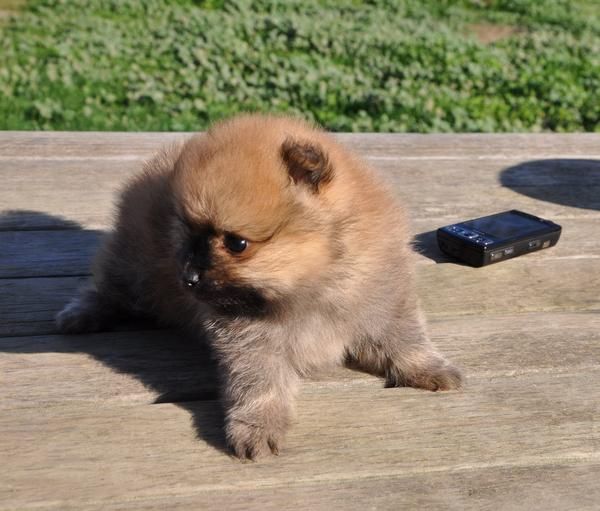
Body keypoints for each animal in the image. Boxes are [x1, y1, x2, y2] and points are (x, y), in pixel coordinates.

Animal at [56, 115, 462, 460]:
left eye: (236, 244)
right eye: (187, 233)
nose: (188, 279)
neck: (312, 287)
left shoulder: (383, 299)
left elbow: (404, 337)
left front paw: (427, 368)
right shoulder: (250, 337)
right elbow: (258, 380)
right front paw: (257, 425)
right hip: (134, 268)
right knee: (108, 286)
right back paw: (82, 314)